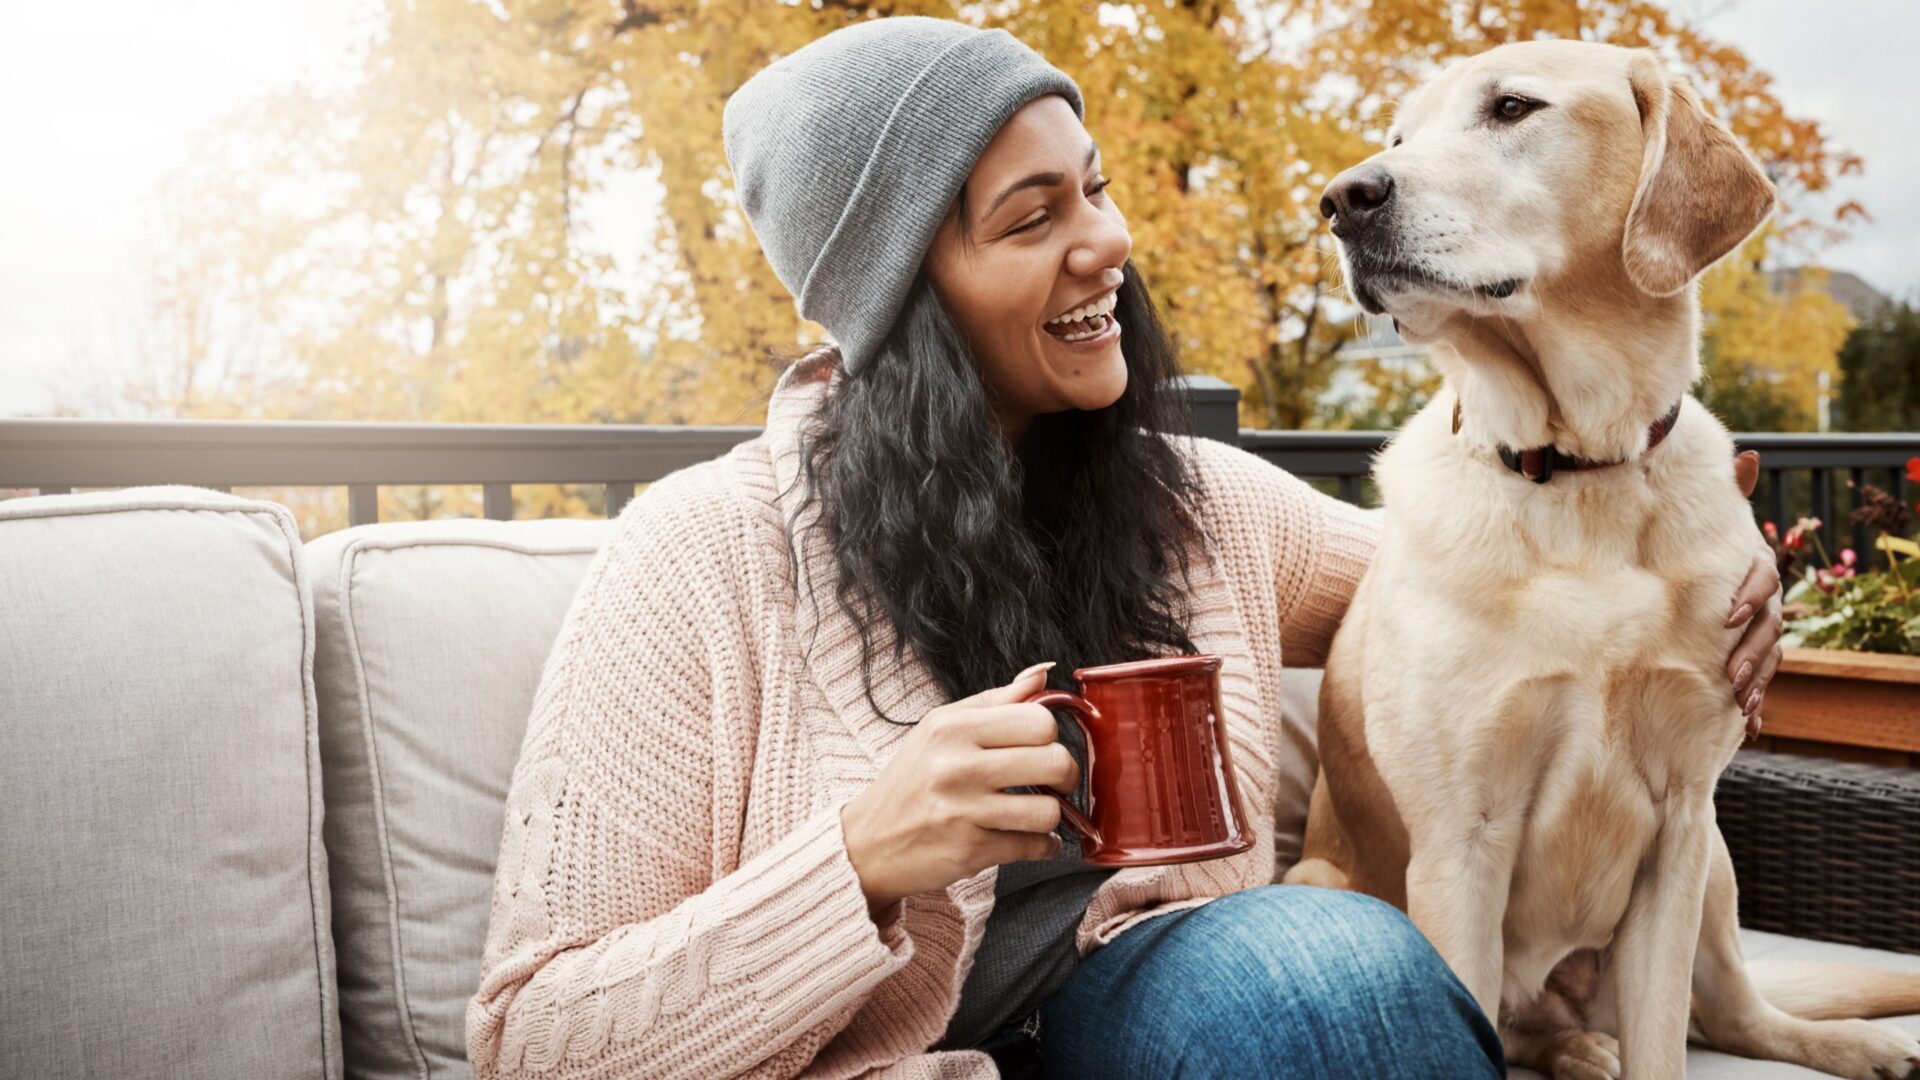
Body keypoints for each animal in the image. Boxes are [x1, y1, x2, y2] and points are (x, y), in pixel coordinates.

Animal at [1290, 37, 1920, 1076]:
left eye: (1511, 108)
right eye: (1399, 138)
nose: (1343, 198)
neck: (1579, 468)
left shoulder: (1680, 830)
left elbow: (1669, 1038)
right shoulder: (1460, 845)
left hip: (1717, 868)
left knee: (1735, 1016)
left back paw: (1848, 1046)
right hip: (1327, 881)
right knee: (1537, 1031)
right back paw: (1579, 1048)